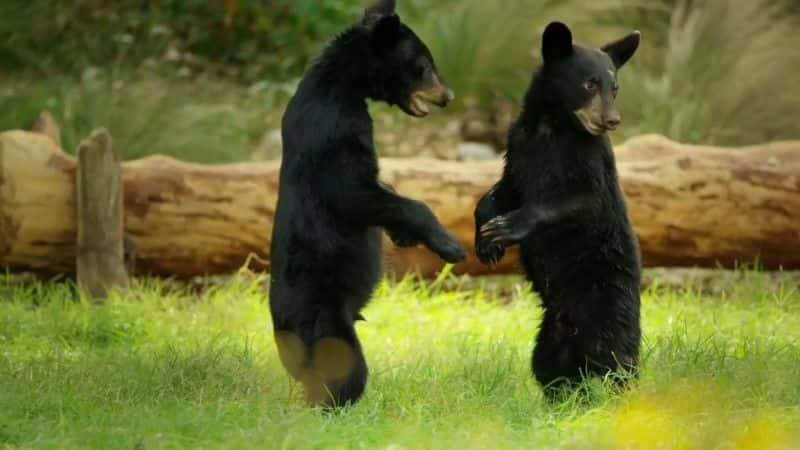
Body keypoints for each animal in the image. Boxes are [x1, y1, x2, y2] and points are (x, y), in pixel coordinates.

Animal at [270, 0, 466, 408]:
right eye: (424, 65)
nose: (448, 96)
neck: (340, 85)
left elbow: (380, 190)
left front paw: (405, 235)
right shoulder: (332, 129)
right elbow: (353, 191)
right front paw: (450, 245)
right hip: (321, 321)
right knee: (342, 369)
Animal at [476, 22, 644, 394]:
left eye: (615, 87)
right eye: (589, 83)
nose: (612, 120)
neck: (552, 127)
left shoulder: (587, 160)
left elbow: (581, 201)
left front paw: (507, 227)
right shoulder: (518, 149)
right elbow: (501, 192)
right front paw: (487, 240)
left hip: (606, 303)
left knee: (613, 355)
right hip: (551, 331)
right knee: (547, 364)